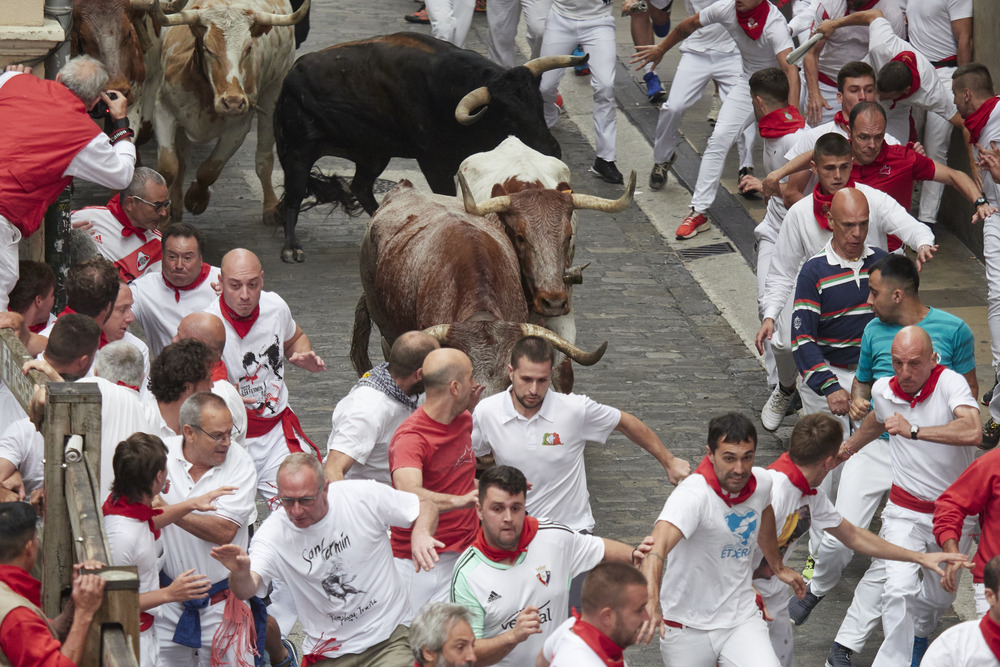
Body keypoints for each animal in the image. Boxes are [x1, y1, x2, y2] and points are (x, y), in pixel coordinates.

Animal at [272, 30, 584, 264]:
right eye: (508, 116)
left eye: (538, 103)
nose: (551, 149)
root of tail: (289, 77)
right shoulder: (434, 162)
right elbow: (446, 195)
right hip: (298, 152)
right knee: (295, 195)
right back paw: (291, 247)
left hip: (373, 154)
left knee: (360, 187)